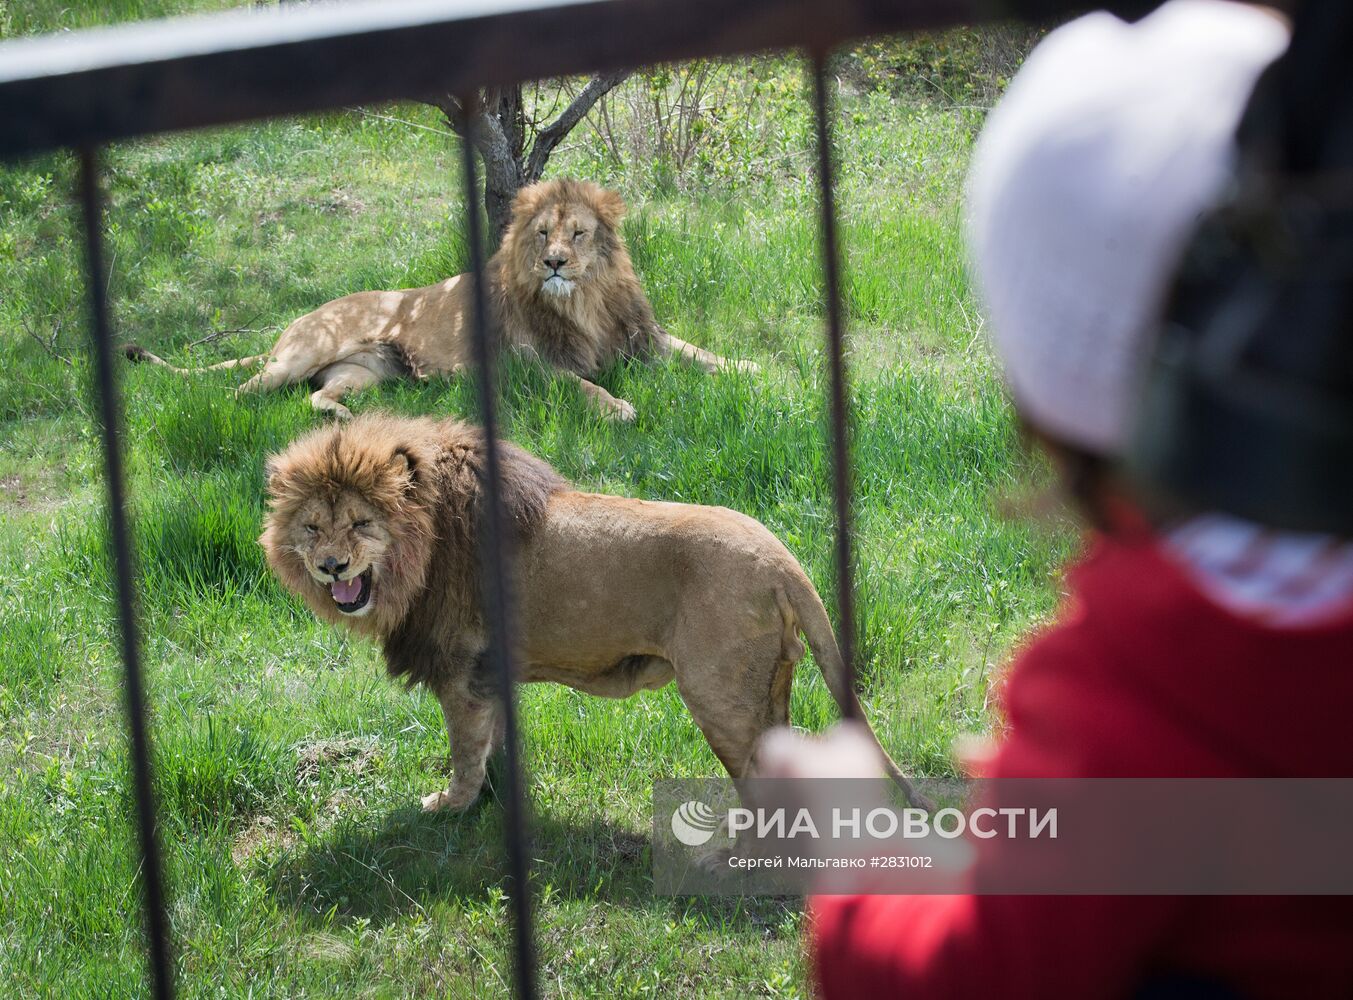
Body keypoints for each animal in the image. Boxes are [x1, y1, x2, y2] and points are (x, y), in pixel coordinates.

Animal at [125, 178, 752, 419]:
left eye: (577, 233)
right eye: (542, 234)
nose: (554, 263)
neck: (584, 302)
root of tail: (296, 322)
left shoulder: (642, 335)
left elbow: (697, 352)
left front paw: (753, 369)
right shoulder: (528, 365)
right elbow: (584, 385)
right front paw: (618, 407)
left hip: (366, 374)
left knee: (315, 398)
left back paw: (342, 419)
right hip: (303, 354)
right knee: (242, 389)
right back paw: (232, 412)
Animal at [258, 414, 925, 811]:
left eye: (360, 524)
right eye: (312, 527)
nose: (332, 566)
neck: (419, 553)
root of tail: (783, 560)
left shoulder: (460, 670)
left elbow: (465, 750)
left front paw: (450, 806)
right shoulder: (490, 672)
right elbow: (494, 742)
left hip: (719, 696)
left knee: (758, 784)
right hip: (768, 689)